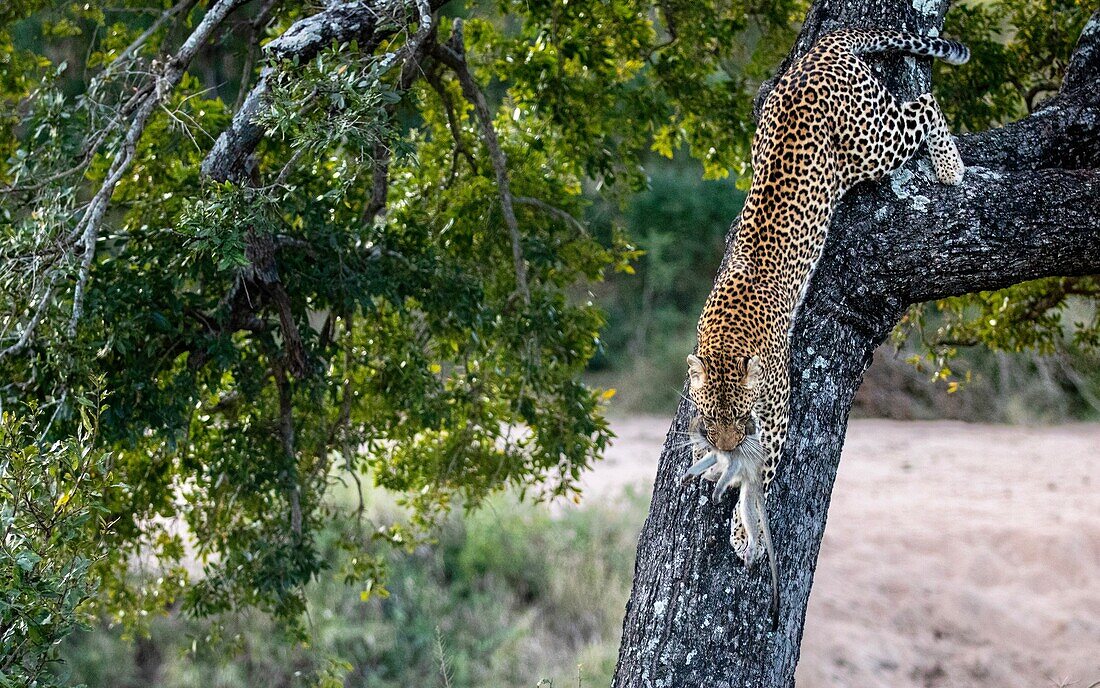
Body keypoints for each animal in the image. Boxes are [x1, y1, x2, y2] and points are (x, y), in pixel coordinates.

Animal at [677, 26, 972, 625]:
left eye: (739, 420)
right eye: (713, 422)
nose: (725, 443)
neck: (723, 343)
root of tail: (819, 52)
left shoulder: (775, 417)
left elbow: (760, 480)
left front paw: (743, 533)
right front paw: (709, 463)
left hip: (871, 143)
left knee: (922, 104)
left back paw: (950, 166)